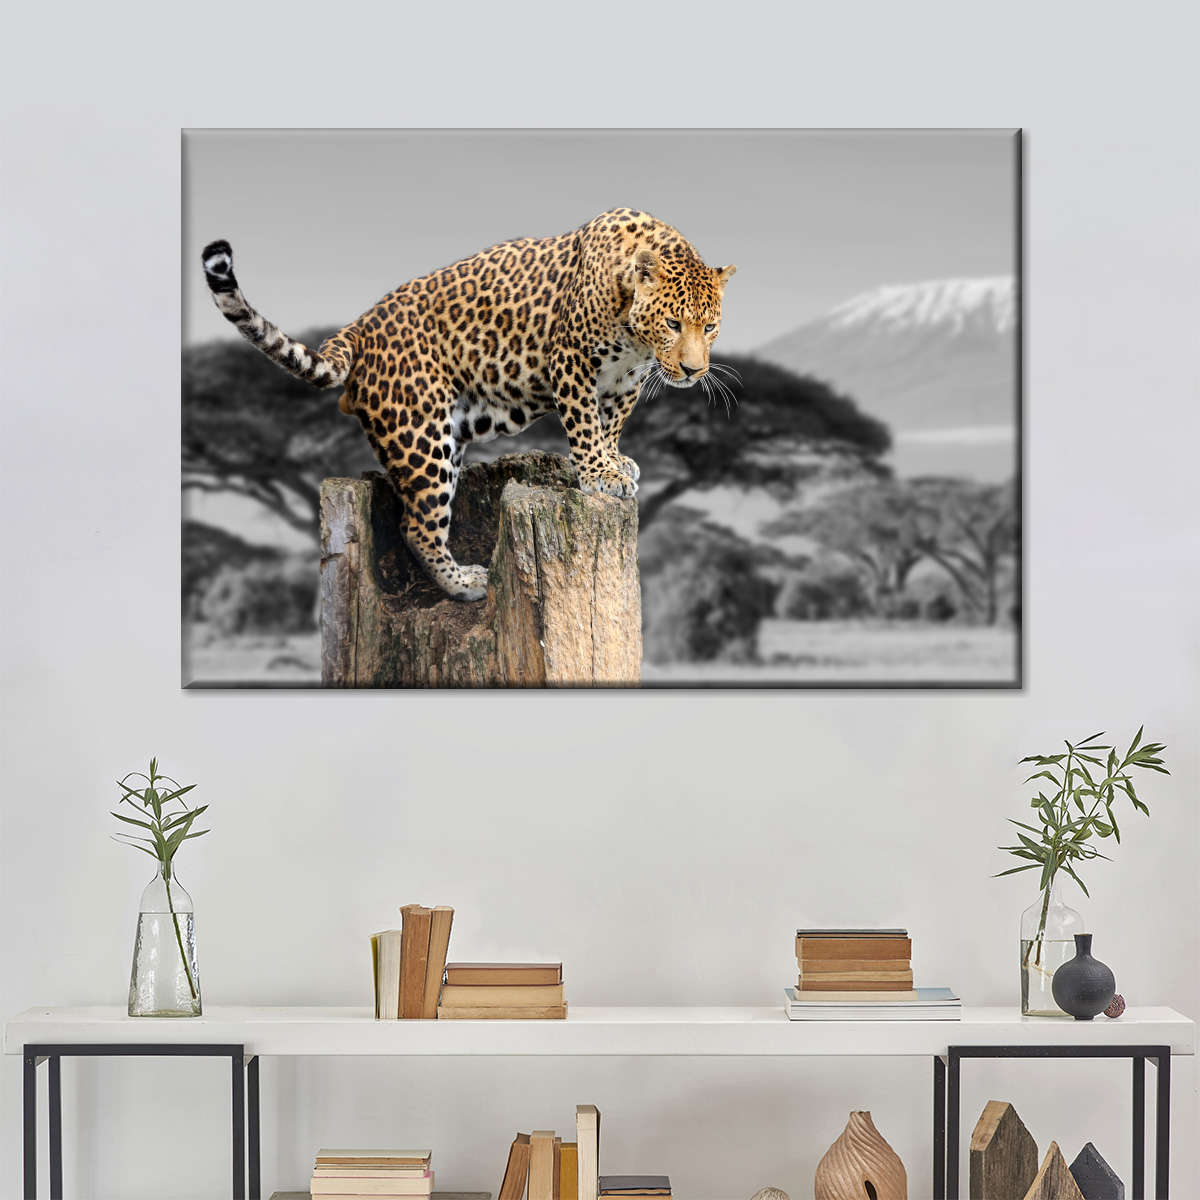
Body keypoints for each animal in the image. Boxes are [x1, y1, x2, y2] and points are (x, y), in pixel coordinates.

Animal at [201, 208, 736, 600]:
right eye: (673, 324)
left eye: (709, 326)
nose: (694, 370)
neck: (635, 336)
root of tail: (360, 325)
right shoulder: (570, 361)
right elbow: (584, 422)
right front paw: (599, 474)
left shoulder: (626, 380)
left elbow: (611, 424)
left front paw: (615, 462)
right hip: (421, 435)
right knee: (416, 525)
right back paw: (465, 585)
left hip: (449, 436)